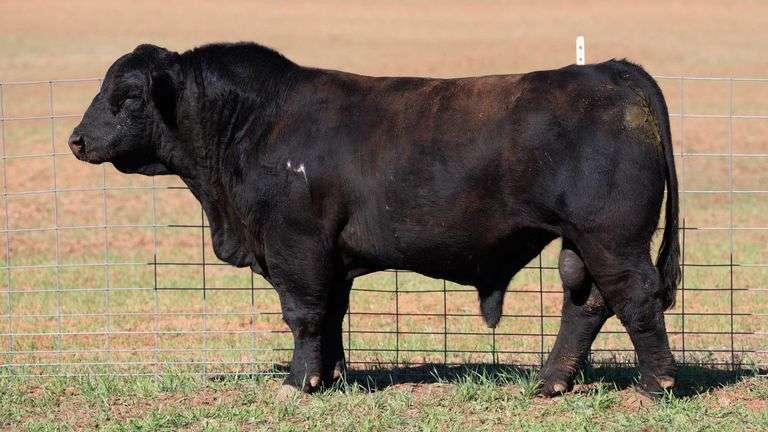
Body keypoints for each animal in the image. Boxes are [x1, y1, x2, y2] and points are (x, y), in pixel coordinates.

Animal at [69, 42, 680, 398]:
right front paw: (334, 375)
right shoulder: (330, 259)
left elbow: (305, 316)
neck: (255, 123)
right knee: (587, 302)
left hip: (612, 238)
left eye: (127, 94)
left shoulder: (297, 248)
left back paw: (657, 384)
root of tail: (610, 71)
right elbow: (333, 316)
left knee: (634, 295)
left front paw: (300, 382)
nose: (76, 140)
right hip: (583, 242)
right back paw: (551, 383)